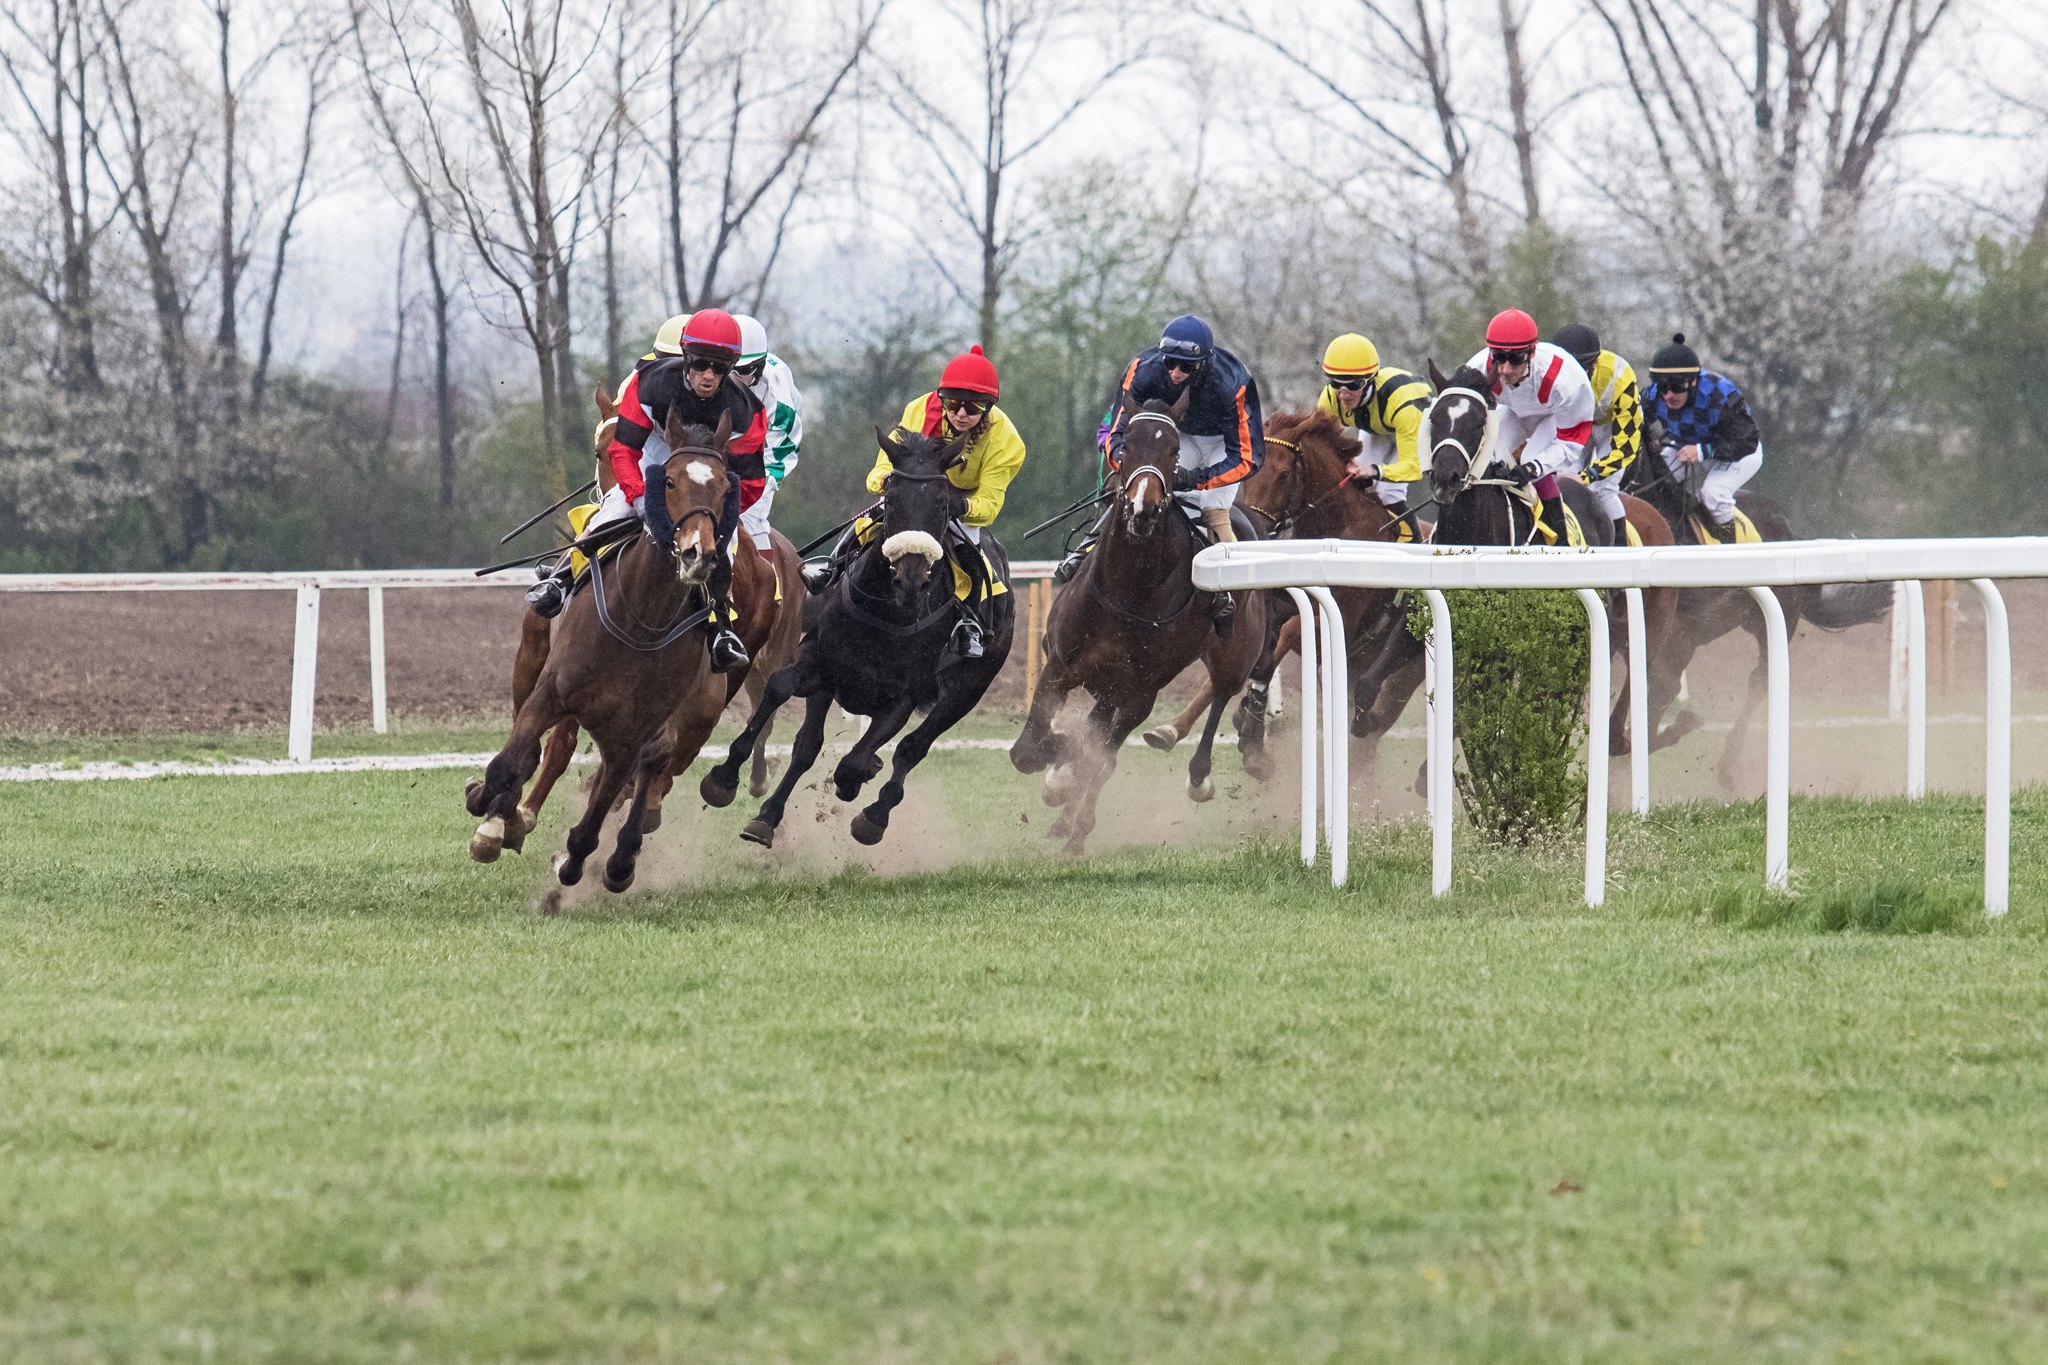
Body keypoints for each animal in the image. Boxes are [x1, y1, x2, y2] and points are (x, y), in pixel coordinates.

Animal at [469, 383, 804, 863]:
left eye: (724, 485)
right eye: (600, 450)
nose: (618, 500)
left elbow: (557, 745)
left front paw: (511, 818)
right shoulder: (555, 668)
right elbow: (537, 739)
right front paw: (504, 815)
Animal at [699, 424, 1016, 848]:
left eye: (942, 505)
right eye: (891, 498)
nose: (911, 581)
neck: (886, 613)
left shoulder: (902, 697)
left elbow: (859, 759)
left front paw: (857, 780)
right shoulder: (821, 664)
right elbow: (785, 700)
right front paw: (729, 781)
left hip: (968, 689)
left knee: (913, 748)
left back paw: (875, 812)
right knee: (811, 745)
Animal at [1009, 395, 1268, 855]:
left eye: (1173, 451)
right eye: (1125, 445)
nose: (1143, 510)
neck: (1127, 589)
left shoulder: (1140, 691)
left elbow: (1100, 758)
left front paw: (1078, 820)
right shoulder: (1059, 667)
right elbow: (1031, 749)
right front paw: (1061, 778)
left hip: (1233, 653)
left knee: (1220, 693)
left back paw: (1195, 775)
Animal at [1138, 409, 1413, 772]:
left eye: (1283, 475)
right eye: (1248, 477)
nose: (1256, 533)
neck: (1338, 530)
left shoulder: (1338, 620)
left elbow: (1285, 637)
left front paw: (1250, 730)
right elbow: (1249, 657)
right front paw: (1177, 728)